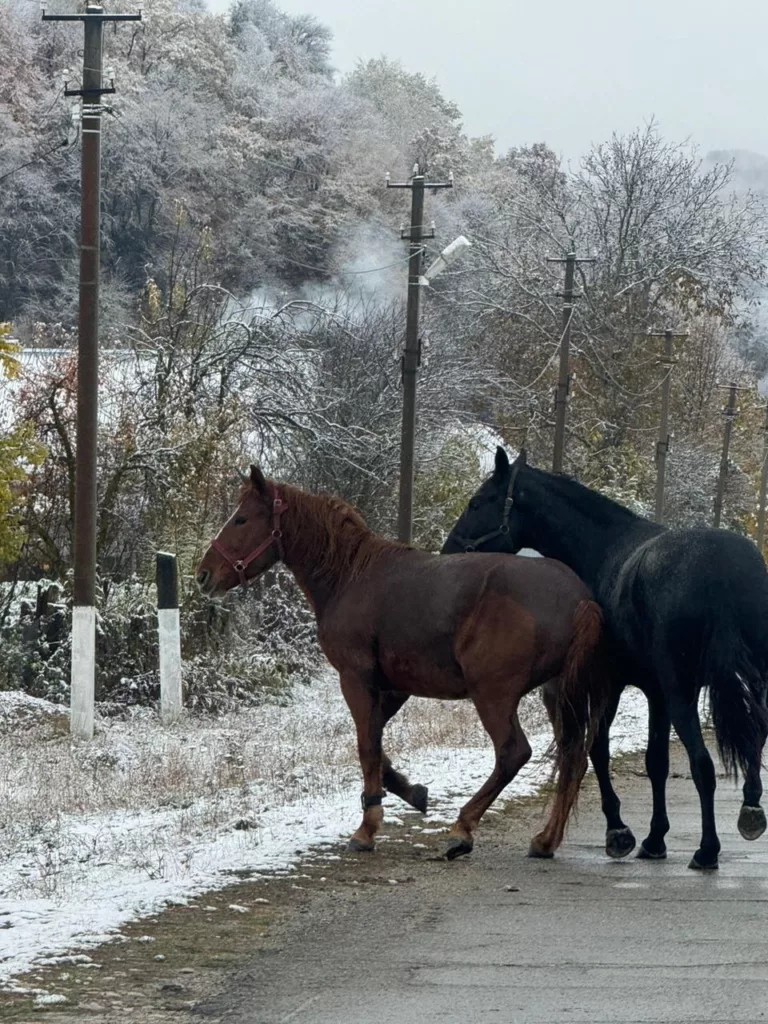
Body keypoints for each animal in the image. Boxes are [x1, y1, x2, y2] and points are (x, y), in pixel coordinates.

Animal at [199, 468, 614, 860]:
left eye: (241, 519)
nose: (204, 574)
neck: (351, 576)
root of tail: (578, 599)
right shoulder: (394, 687)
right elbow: (376, 743)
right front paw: (413, 792)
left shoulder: (356, 680)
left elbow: (366, 747)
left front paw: (367, 828)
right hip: (558, 695)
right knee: (573, 756)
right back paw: (546, 840)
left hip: (493, 695)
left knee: (514, 753)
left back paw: (462, 829)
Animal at [442, 444, 768, 868]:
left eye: (477, 502)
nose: (448, 554)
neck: (605, 549)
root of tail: (720, 570)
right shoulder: (655, 693)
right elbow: (656, 762)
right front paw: (654, 839)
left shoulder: (610, 685)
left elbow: (596, 749)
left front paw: (619, 833)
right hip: (751, 680)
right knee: (756, 735)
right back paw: (750, 811)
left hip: (683, 693)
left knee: (703, 764)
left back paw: (707, 849)